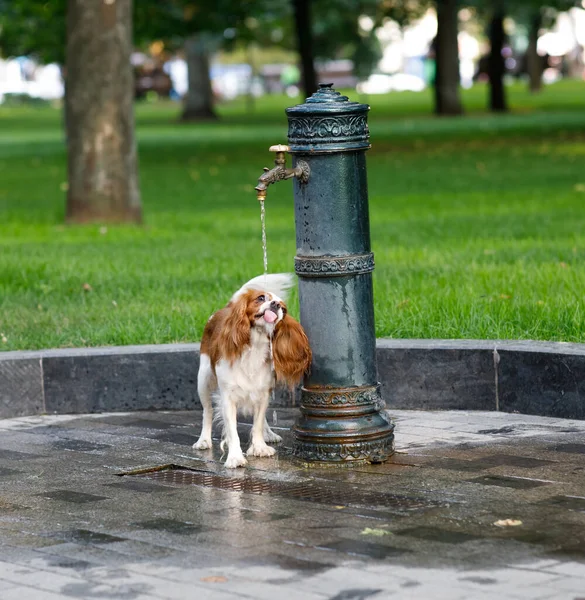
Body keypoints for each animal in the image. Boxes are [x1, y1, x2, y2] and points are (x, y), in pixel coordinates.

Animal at [193, 276, 312, 468]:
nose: (275, 305)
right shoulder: (228, 398)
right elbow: (231, 430)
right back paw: (203, 440)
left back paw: (268, 433)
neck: (254, 346)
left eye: (283, 308)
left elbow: (257, 423)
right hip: (203, 379)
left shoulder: (263, 393)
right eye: (261, 298)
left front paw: (259, 447)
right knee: (207, 411)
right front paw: (235, 457)